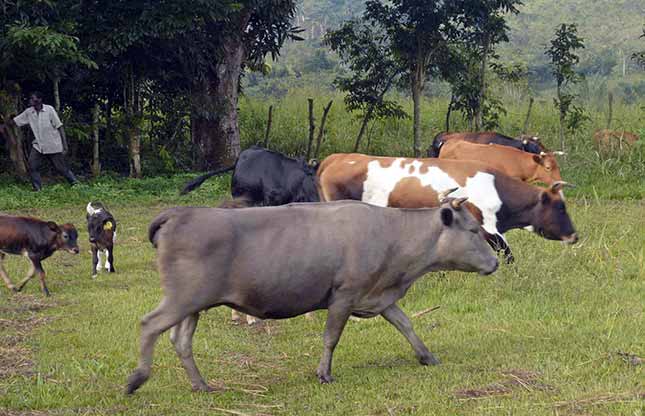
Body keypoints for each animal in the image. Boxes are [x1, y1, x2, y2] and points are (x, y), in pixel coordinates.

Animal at [127, 198, 498, 394]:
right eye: (473, 230)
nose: (495, 262)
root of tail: (180, 212)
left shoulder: (379, 295)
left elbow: (405, 324)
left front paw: (426, 356)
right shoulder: (344, 295)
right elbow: (331, 337)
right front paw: (324, 373)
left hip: (193, 303)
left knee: (180, 340)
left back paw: (201, 384)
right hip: (181, 297)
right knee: (149, 325)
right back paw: (137, 379)